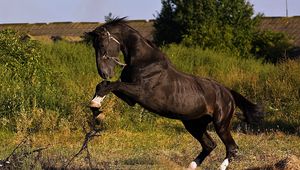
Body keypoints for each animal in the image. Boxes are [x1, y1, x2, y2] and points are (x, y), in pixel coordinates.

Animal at [86, 17, 262, 170]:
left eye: (102, 45)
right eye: (95, 46)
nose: (104, 72)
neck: (144, 61)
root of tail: (228, 93)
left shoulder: (139, 92)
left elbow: (113, 85)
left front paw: (96, 105)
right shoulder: (131, 99)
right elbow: (105, 85)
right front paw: (97, 108)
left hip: (221, 124)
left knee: (232, 147)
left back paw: (219, 166)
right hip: (194, 124)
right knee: (209, 145)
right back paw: (191, 166)